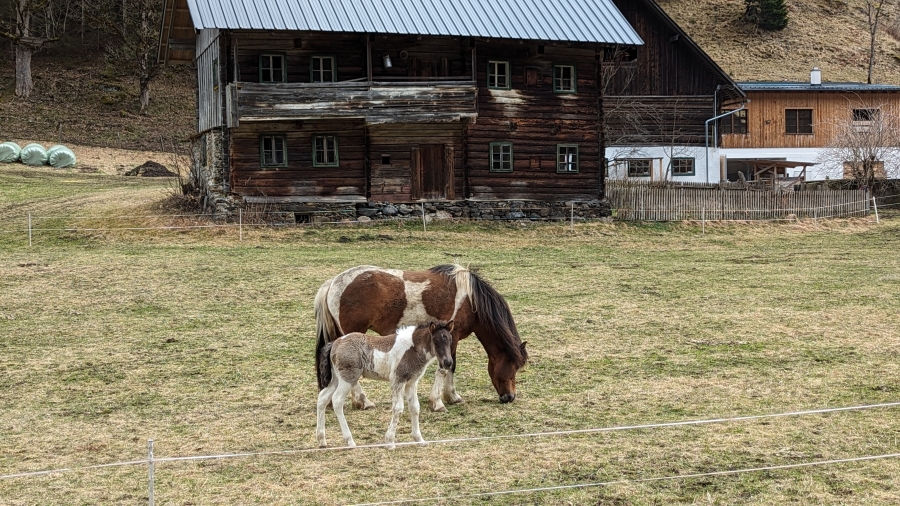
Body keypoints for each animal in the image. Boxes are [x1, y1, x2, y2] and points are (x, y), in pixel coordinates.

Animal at [314, 264, 527, 412]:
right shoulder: (451, 335)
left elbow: (451, 365)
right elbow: (445, 367)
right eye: (513, 365)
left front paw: (452, 396)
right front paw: (439, 402)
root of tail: (333, 283)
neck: (470, 300)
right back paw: (365, 402)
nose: (510, 397)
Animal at [315, 321, 455, 449]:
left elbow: (415, 407)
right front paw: (390, 441)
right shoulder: (398, 380)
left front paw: (419, 439)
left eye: (450, 340)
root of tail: (335, 343)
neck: (412, 348)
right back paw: (350, 441)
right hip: (348, 378)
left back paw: (322, 440)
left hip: (335, 379)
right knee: (337, 400)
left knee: (322, 398)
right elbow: (398, 408)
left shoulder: (411, 382)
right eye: (436, 341)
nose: (448, 362)